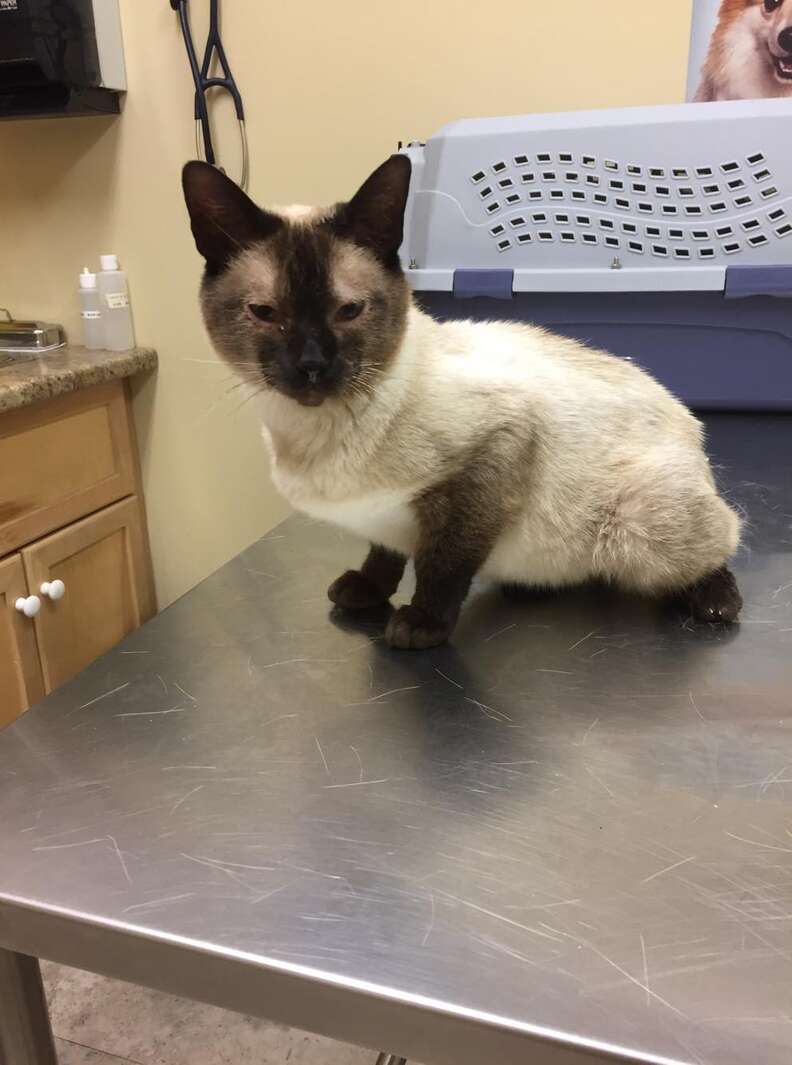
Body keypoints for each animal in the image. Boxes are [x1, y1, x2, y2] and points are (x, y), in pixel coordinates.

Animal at [184, 153, 740, 643]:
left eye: (349, 311)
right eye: (264, 313)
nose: (312, 366)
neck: (310, 435)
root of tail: (690, 425)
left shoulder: (493, 458)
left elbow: (443, 563)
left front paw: (421, 625)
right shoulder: (388, 519)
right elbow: (384, 554)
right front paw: (366, 592)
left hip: (639, 527)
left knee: (720, 545)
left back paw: (716, 603)